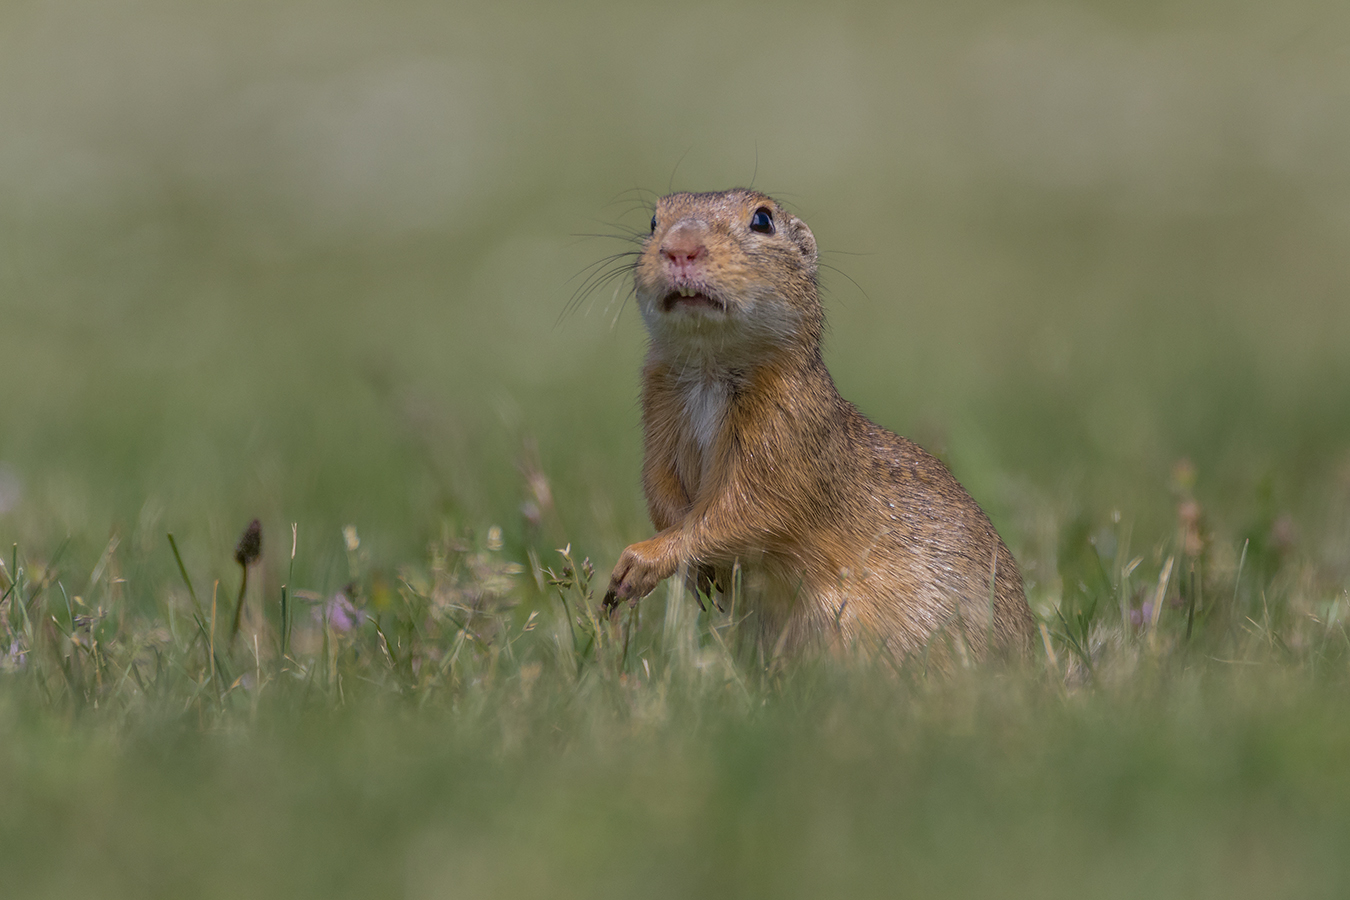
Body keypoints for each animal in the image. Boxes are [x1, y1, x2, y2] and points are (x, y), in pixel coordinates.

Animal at [602, 188, 1031, 661]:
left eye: (763, 220)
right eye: (654, 220)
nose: (680, 248)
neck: (708, 366)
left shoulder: (785, 433)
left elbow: (742, 512)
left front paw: (639, 563)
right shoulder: (659, 417)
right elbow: (661, 491)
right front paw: (689, 577)